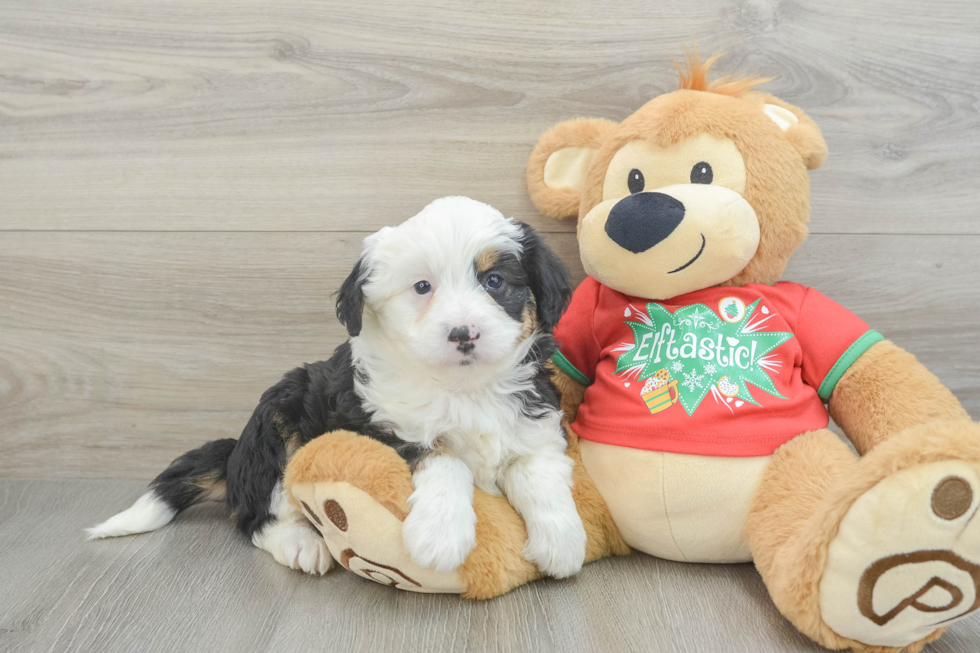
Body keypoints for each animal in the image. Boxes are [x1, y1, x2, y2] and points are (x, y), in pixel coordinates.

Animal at [88, 196, 584, 580]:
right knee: (256, 516)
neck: (463, 388)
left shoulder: (536, 424)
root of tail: (235, 456)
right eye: (422, 287)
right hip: (278, 420)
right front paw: (440, 534)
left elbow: (539, 472)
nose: (463, 333)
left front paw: (562, 541)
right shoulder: (374, 424)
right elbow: (444, 457)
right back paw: (301, 543)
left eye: (494, 281)